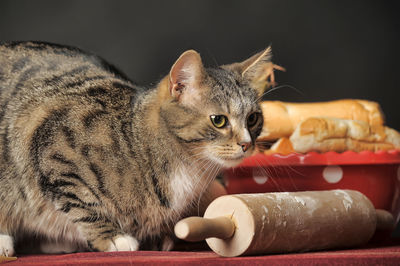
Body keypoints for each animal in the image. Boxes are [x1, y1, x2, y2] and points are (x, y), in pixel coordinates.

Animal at [0, 40, 274, 255]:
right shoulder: (54, 151)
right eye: (219, 120)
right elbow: (84, 204)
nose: (247, 144)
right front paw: (112, 238)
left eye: (253, 118)